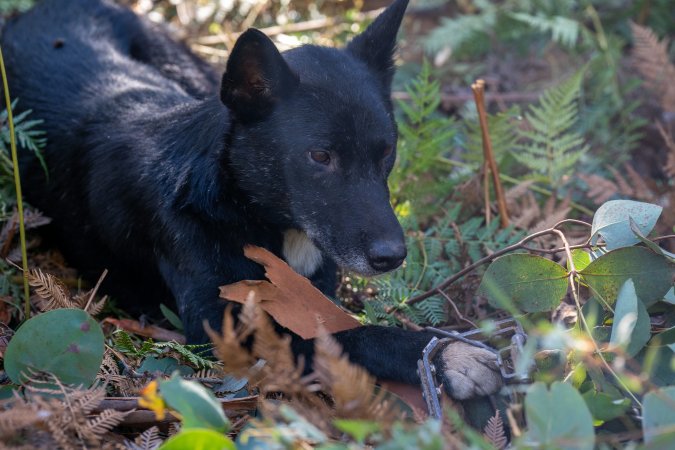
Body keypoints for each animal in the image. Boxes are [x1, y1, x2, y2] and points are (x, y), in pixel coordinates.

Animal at [2, 0, 502, 400]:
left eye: (386, 152)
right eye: (320, 156)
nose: (391, 257)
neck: (241, 208)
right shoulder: (227, 339)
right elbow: (351, 337)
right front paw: (447, 355)